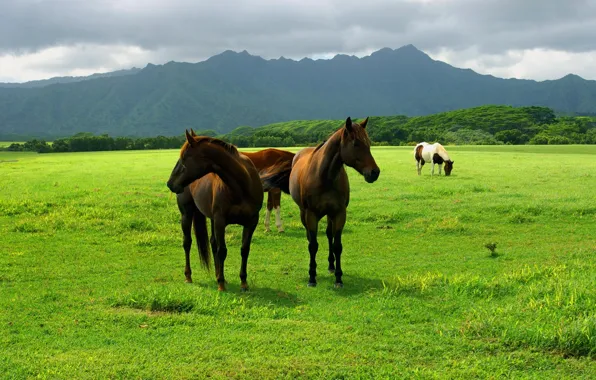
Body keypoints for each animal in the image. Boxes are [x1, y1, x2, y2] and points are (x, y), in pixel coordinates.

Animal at [165, 130, 264, 290]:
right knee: (187, 243)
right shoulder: (220, 221)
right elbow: (222, 250)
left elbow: (244, 250)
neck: (242, 186)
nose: (170, 183)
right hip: (187, 215)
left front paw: (243, 282)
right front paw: (221, 284)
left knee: (212, 243)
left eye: (184, 157)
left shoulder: (252, 221)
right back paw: (189, 276)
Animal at [260, 116, 380, 288]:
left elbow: (337, 245)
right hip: (304, 213)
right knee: (311, 238)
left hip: (329, 215)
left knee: (329, 235)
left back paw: (331, 265)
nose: (374, 172)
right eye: (356, 143)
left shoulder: (339, 213)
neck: (325, 177)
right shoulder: (311, 214)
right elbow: (313, 245)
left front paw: (338, 278)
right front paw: (312, 277)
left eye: (369, 143)